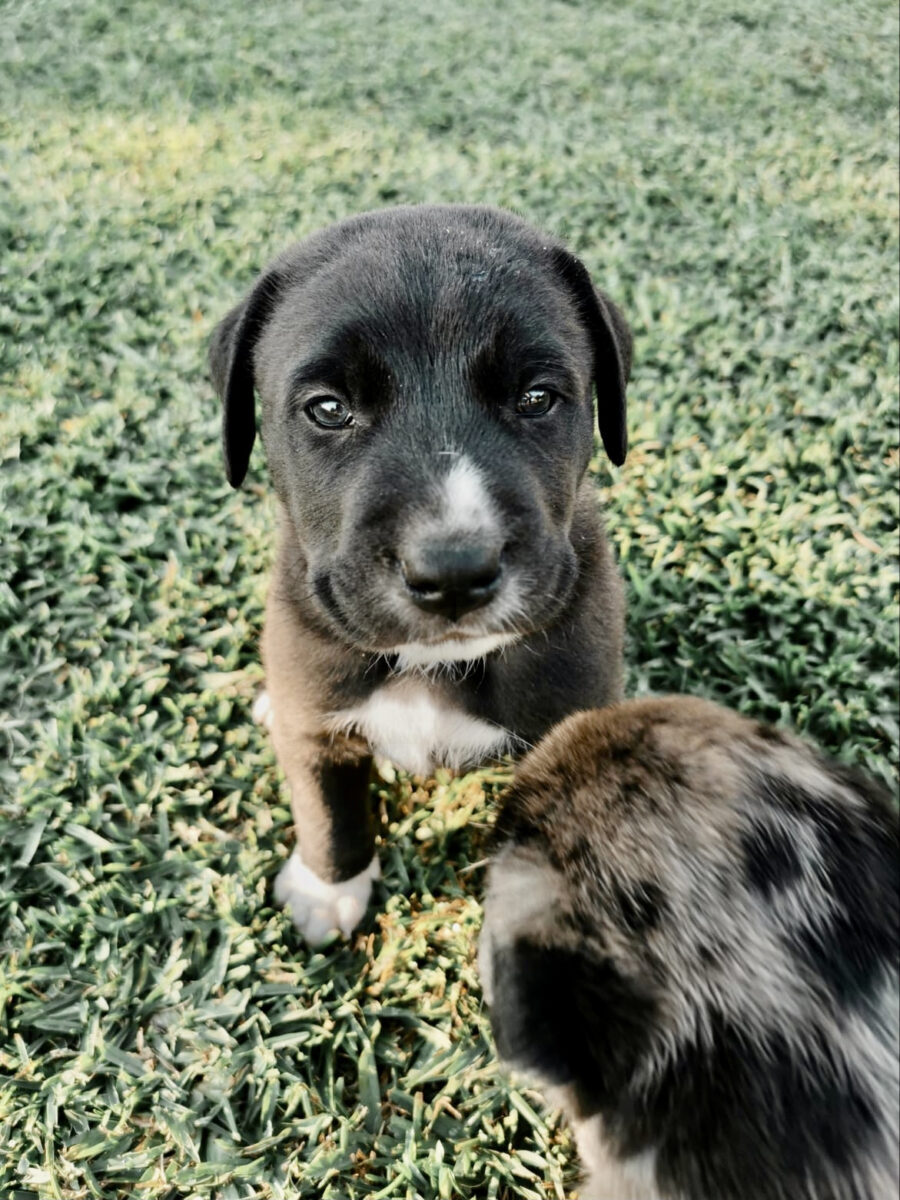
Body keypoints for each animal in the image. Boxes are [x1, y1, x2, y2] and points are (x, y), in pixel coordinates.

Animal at [208, 205, 632, 943]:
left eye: (537, 397)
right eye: (328, 408)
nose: (454, 571)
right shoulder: (315, 710)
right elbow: (326, 808)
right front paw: (327, 889)